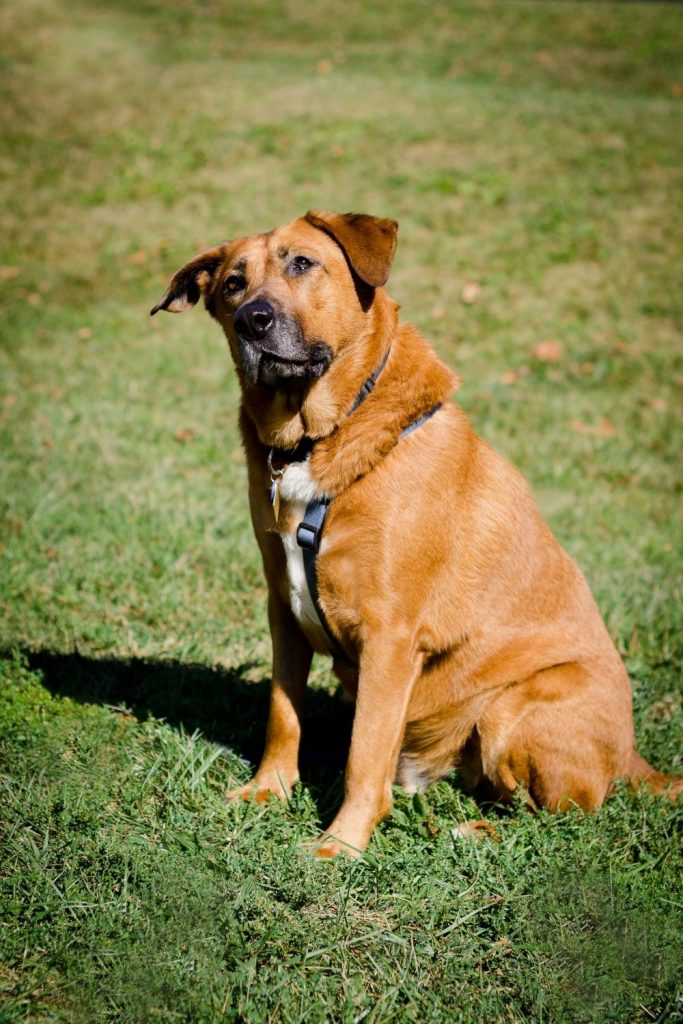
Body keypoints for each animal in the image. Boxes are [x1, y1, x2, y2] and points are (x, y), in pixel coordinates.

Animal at [152, 209, 679, 856]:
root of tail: (632, 759)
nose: (254, 318)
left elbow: (363, 753)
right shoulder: (283, 608)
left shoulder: (390, 636)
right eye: (233, 283)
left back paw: (473, 830)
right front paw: (267, 791)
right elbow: (283, 713)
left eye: (302, 263)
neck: (320, 436)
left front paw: (341, 845)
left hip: (512, 708)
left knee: (559, 816)